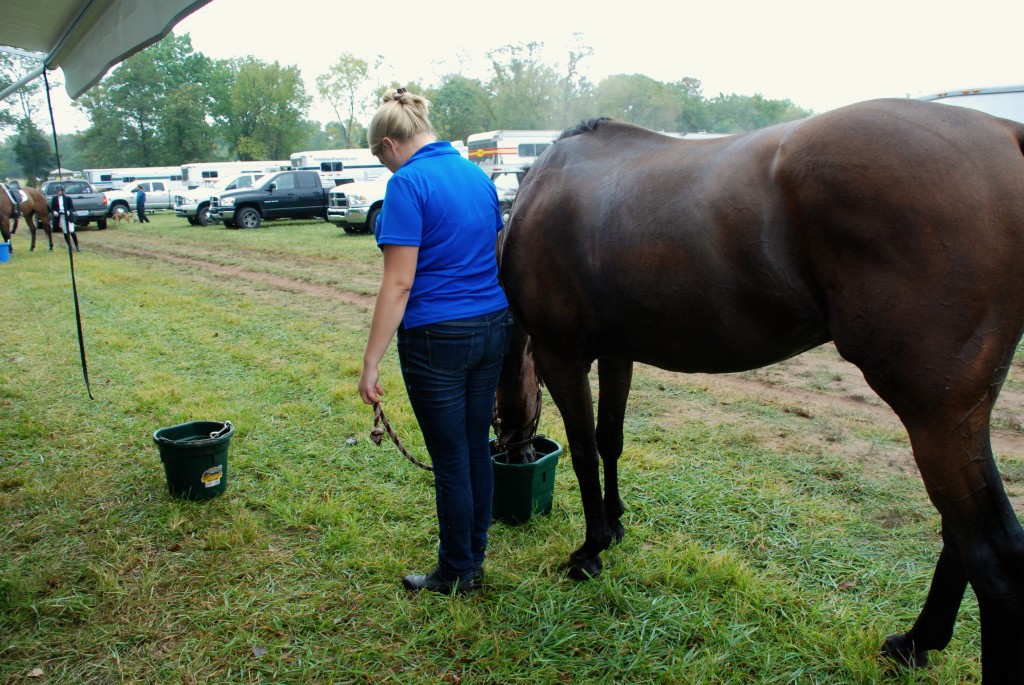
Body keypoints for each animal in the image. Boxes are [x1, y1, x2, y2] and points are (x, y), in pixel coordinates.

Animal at [494, 98, 1024, 683]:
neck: (543, 189)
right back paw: (915, 643)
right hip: (957, 416)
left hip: (934, 413)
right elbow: (611, 438)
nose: (512, 454)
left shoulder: (560, 354)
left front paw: (590, 551)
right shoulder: (617, 351)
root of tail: (1008, 133)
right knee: (960, 535)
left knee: (992, 556)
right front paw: (614, 523)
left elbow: (585, 451)